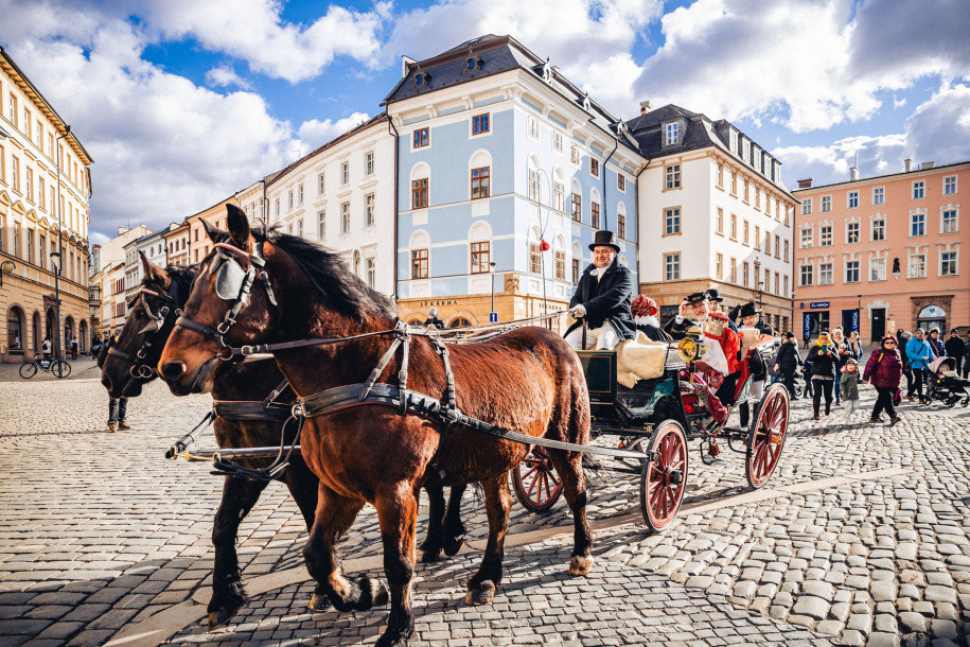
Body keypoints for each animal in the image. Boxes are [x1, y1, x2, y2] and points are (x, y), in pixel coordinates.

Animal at [159, 208, 588, 647]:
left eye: (224, 281)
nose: (171, 367)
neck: (362, 371)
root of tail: (551, 335)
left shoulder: (394, 489)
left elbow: (397, 561)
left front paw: (398, 625)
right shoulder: (336, 485)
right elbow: (316, 553)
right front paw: (361, 592)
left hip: (564, 441)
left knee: (576, 491)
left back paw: (580, 552)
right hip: (497, 453)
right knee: (500, 510)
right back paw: (486, 578)